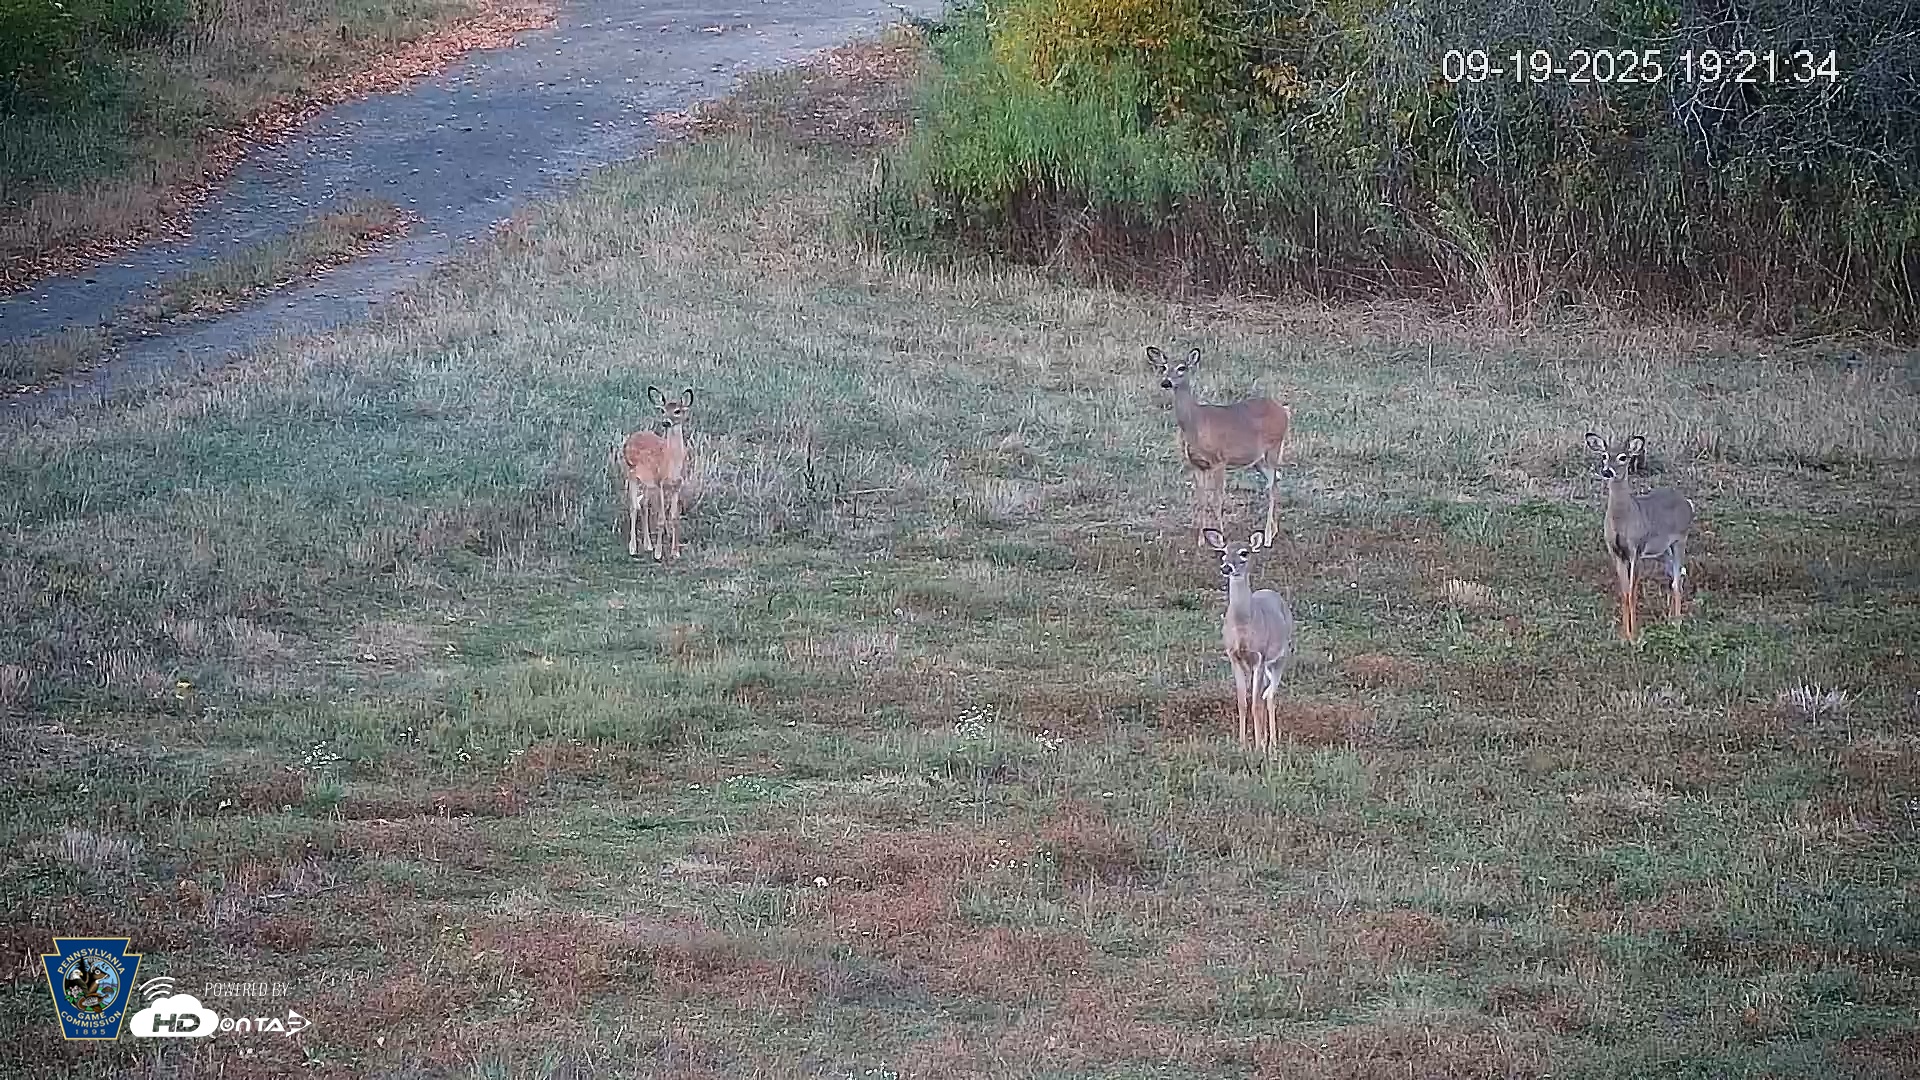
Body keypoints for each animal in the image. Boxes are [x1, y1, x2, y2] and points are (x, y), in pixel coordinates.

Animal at [619, 386, 694, 562]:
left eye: (677, 411)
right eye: (662, 410)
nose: (666, 422)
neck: (671, 463)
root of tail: (631, 437)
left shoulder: (677, 485)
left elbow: (674, 517)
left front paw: (675, 552)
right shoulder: (660, 483)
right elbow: (661, 518)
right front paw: (659, 554)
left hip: (647, 482)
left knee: (644, 505)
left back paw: (648, 545)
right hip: (630, 473)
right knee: (633, 506)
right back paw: (633, 548)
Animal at [1148, 346, 1292, 547]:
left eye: (1182, 368)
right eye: (1164, 367)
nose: (1166, 382)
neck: (1196, 423)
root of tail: (1284, 410)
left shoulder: (1220, 460)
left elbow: (1217, 500)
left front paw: (1221, 537)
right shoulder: (1197, 464)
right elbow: (1201, 499)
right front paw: (1201, 540)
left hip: (1274, 447)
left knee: (1272, 487)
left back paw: (1268, 537)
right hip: (1258, 459)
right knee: (1275, 480)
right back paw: (1274, 530)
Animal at [1204, 528, 1296, 754]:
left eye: (1244, 553)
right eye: (1223, 552)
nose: (1226, 568)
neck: (1243, 627)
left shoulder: (1259, 657)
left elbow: (1255, 703)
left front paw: (1259, 745)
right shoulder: (1234, 657)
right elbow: (1242, 702)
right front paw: (1242, 744)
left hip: (1281, 657)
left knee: (1269, 696)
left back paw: (1272, 744)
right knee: (1266, 694)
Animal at [1584, 432, 1696, 641]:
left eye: (1623, 457)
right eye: (1604, 455)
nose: (1607, 471)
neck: (1624, 519)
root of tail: (1687, 502)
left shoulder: (1637, 549)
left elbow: (1632, 592)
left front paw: (1634, 636)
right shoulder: (1616, 552)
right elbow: (1624, 592)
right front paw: (1624, 635)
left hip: (1680, 539)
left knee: (1677, 580)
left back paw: (1677, 625)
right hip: (1662, 551)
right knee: (1675, 578)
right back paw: (1670, 620)